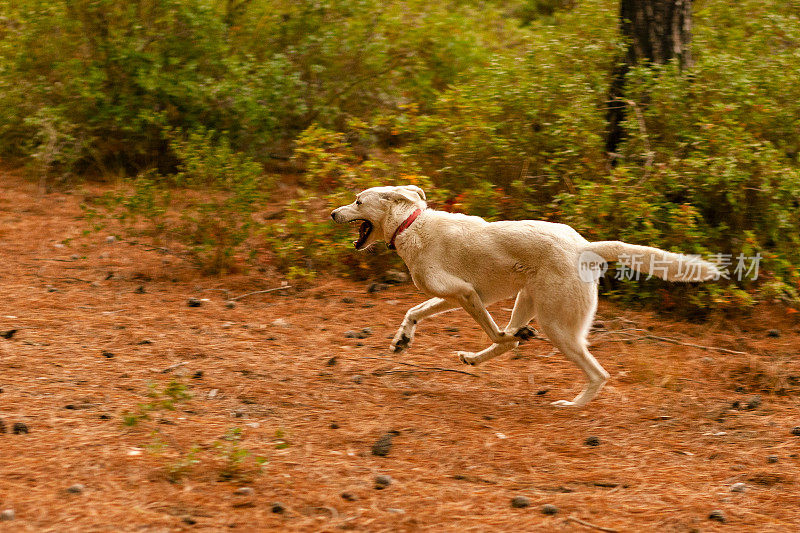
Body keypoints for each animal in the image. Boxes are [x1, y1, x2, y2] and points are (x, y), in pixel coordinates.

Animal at [332, 185, 720, 406]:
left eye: (357, 201)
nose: (333, 212)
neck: (410, 224)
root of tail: (585, 246)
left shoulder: (465, 293)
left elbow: (493, 332)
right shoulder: (457, 296)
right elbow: (413, 312)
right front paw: (402, 340)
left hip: (557, 325)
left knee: (597, 374)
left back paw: (571, 405)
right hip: (528, 300)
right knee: (512, 342)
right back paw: (476, 357)